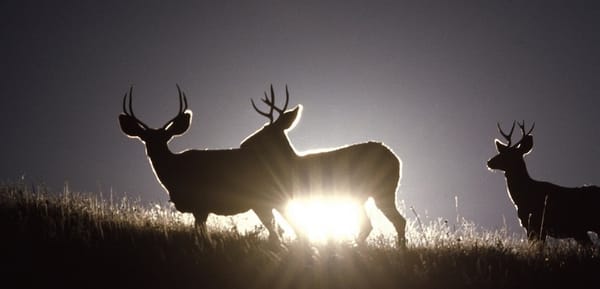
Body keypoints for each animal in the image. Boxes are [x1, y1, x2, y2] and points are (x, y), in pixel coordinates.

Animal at [241, 85, 406, 245]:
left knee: (397, 221)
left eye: (265, 130)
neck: (292, 165)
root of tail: (397, 159)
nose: (244, 143)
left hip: (383, 188)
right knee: (371, 225)